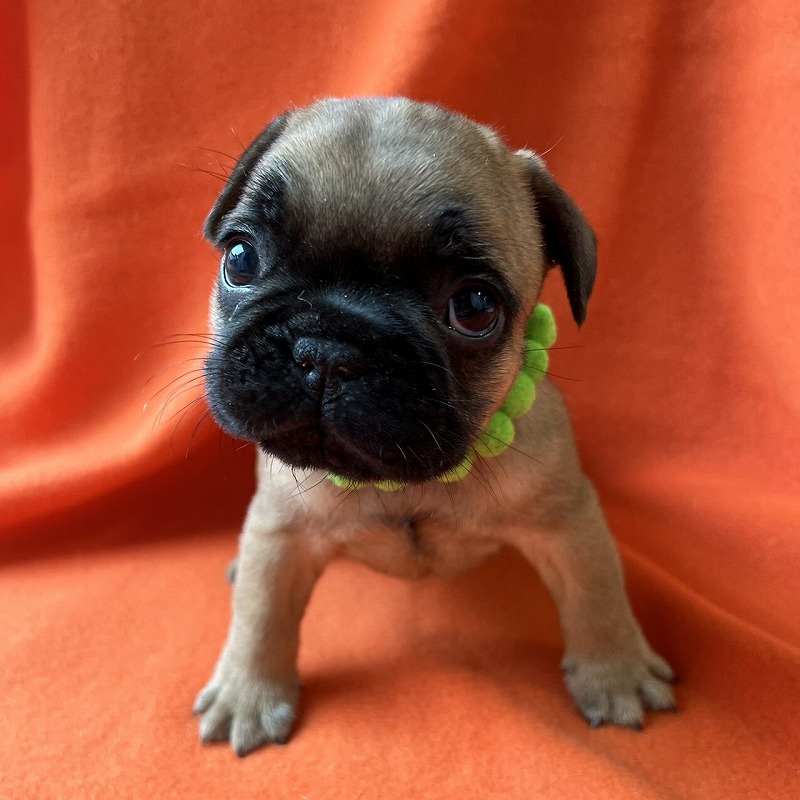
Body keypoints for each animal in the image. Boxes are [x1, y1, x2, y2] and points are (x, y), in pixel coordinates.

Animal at [194, 97, 676, 756]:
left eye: (474, 307)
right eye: (240, 259)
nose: (326, 348)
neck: (405, 481)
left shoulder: (569, 521)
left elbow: (597, 597)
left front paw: (616, 673)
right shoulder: (281, 528)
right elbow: (261, 615)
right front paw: (248, 693)